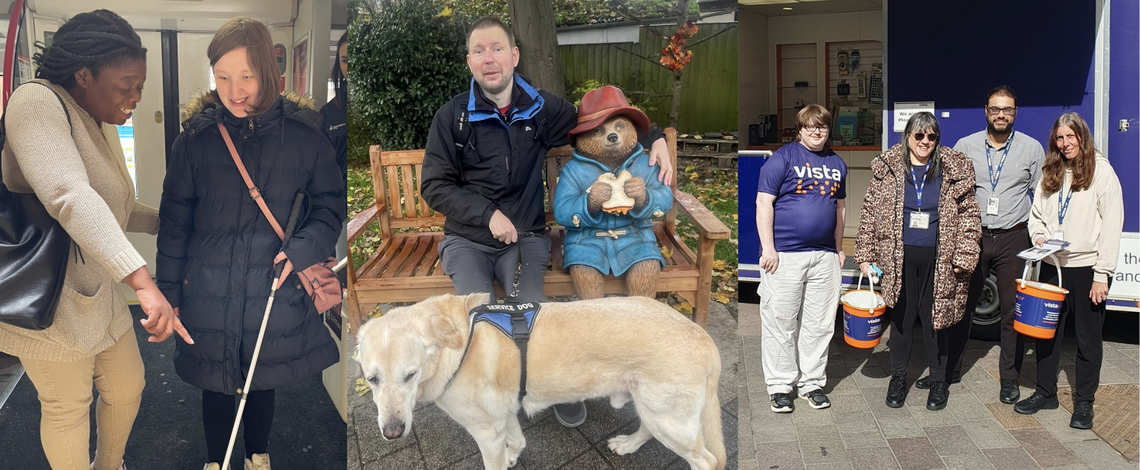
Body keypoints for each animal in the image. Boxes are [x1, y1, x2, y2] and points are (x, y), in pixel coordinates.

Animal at [360, 294, 725, 470]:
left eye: (409, 375)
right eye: (372, 379)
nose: (392, 432)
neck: (458, 346)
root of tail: (707, 341)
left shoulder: (485, 432)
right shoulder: (502, 417)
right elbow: (517, 439)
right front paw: (513, 456)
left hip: (668, 418)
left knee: (706, 461)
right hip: (653, 409)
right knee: (648, 429)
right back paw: (628, 445)